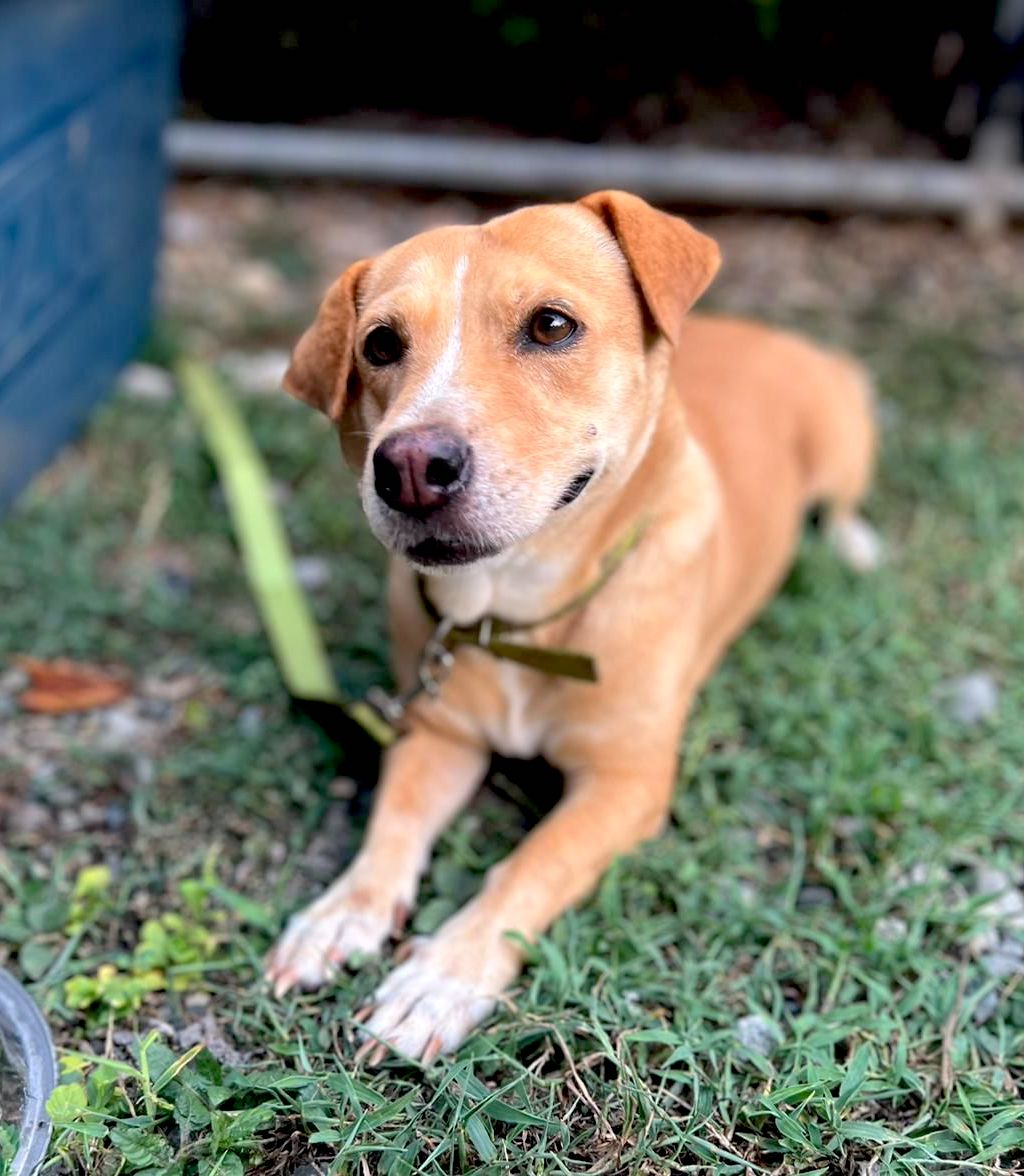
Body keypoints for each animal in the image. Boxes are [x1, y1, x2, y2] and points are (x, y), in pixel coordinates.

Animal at [264, 188, 879, 1063]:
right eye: (379, 344)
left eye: (552, 326)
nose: (409, 467)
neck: (516, 614)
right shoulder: (437, 733)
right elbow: (394, 821)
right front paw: (343, 911)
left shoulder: (626, 784)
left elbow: (532, 863)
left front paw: (442, 976)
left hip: (843, 445)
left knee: (844, 504)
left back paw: (856, 546)